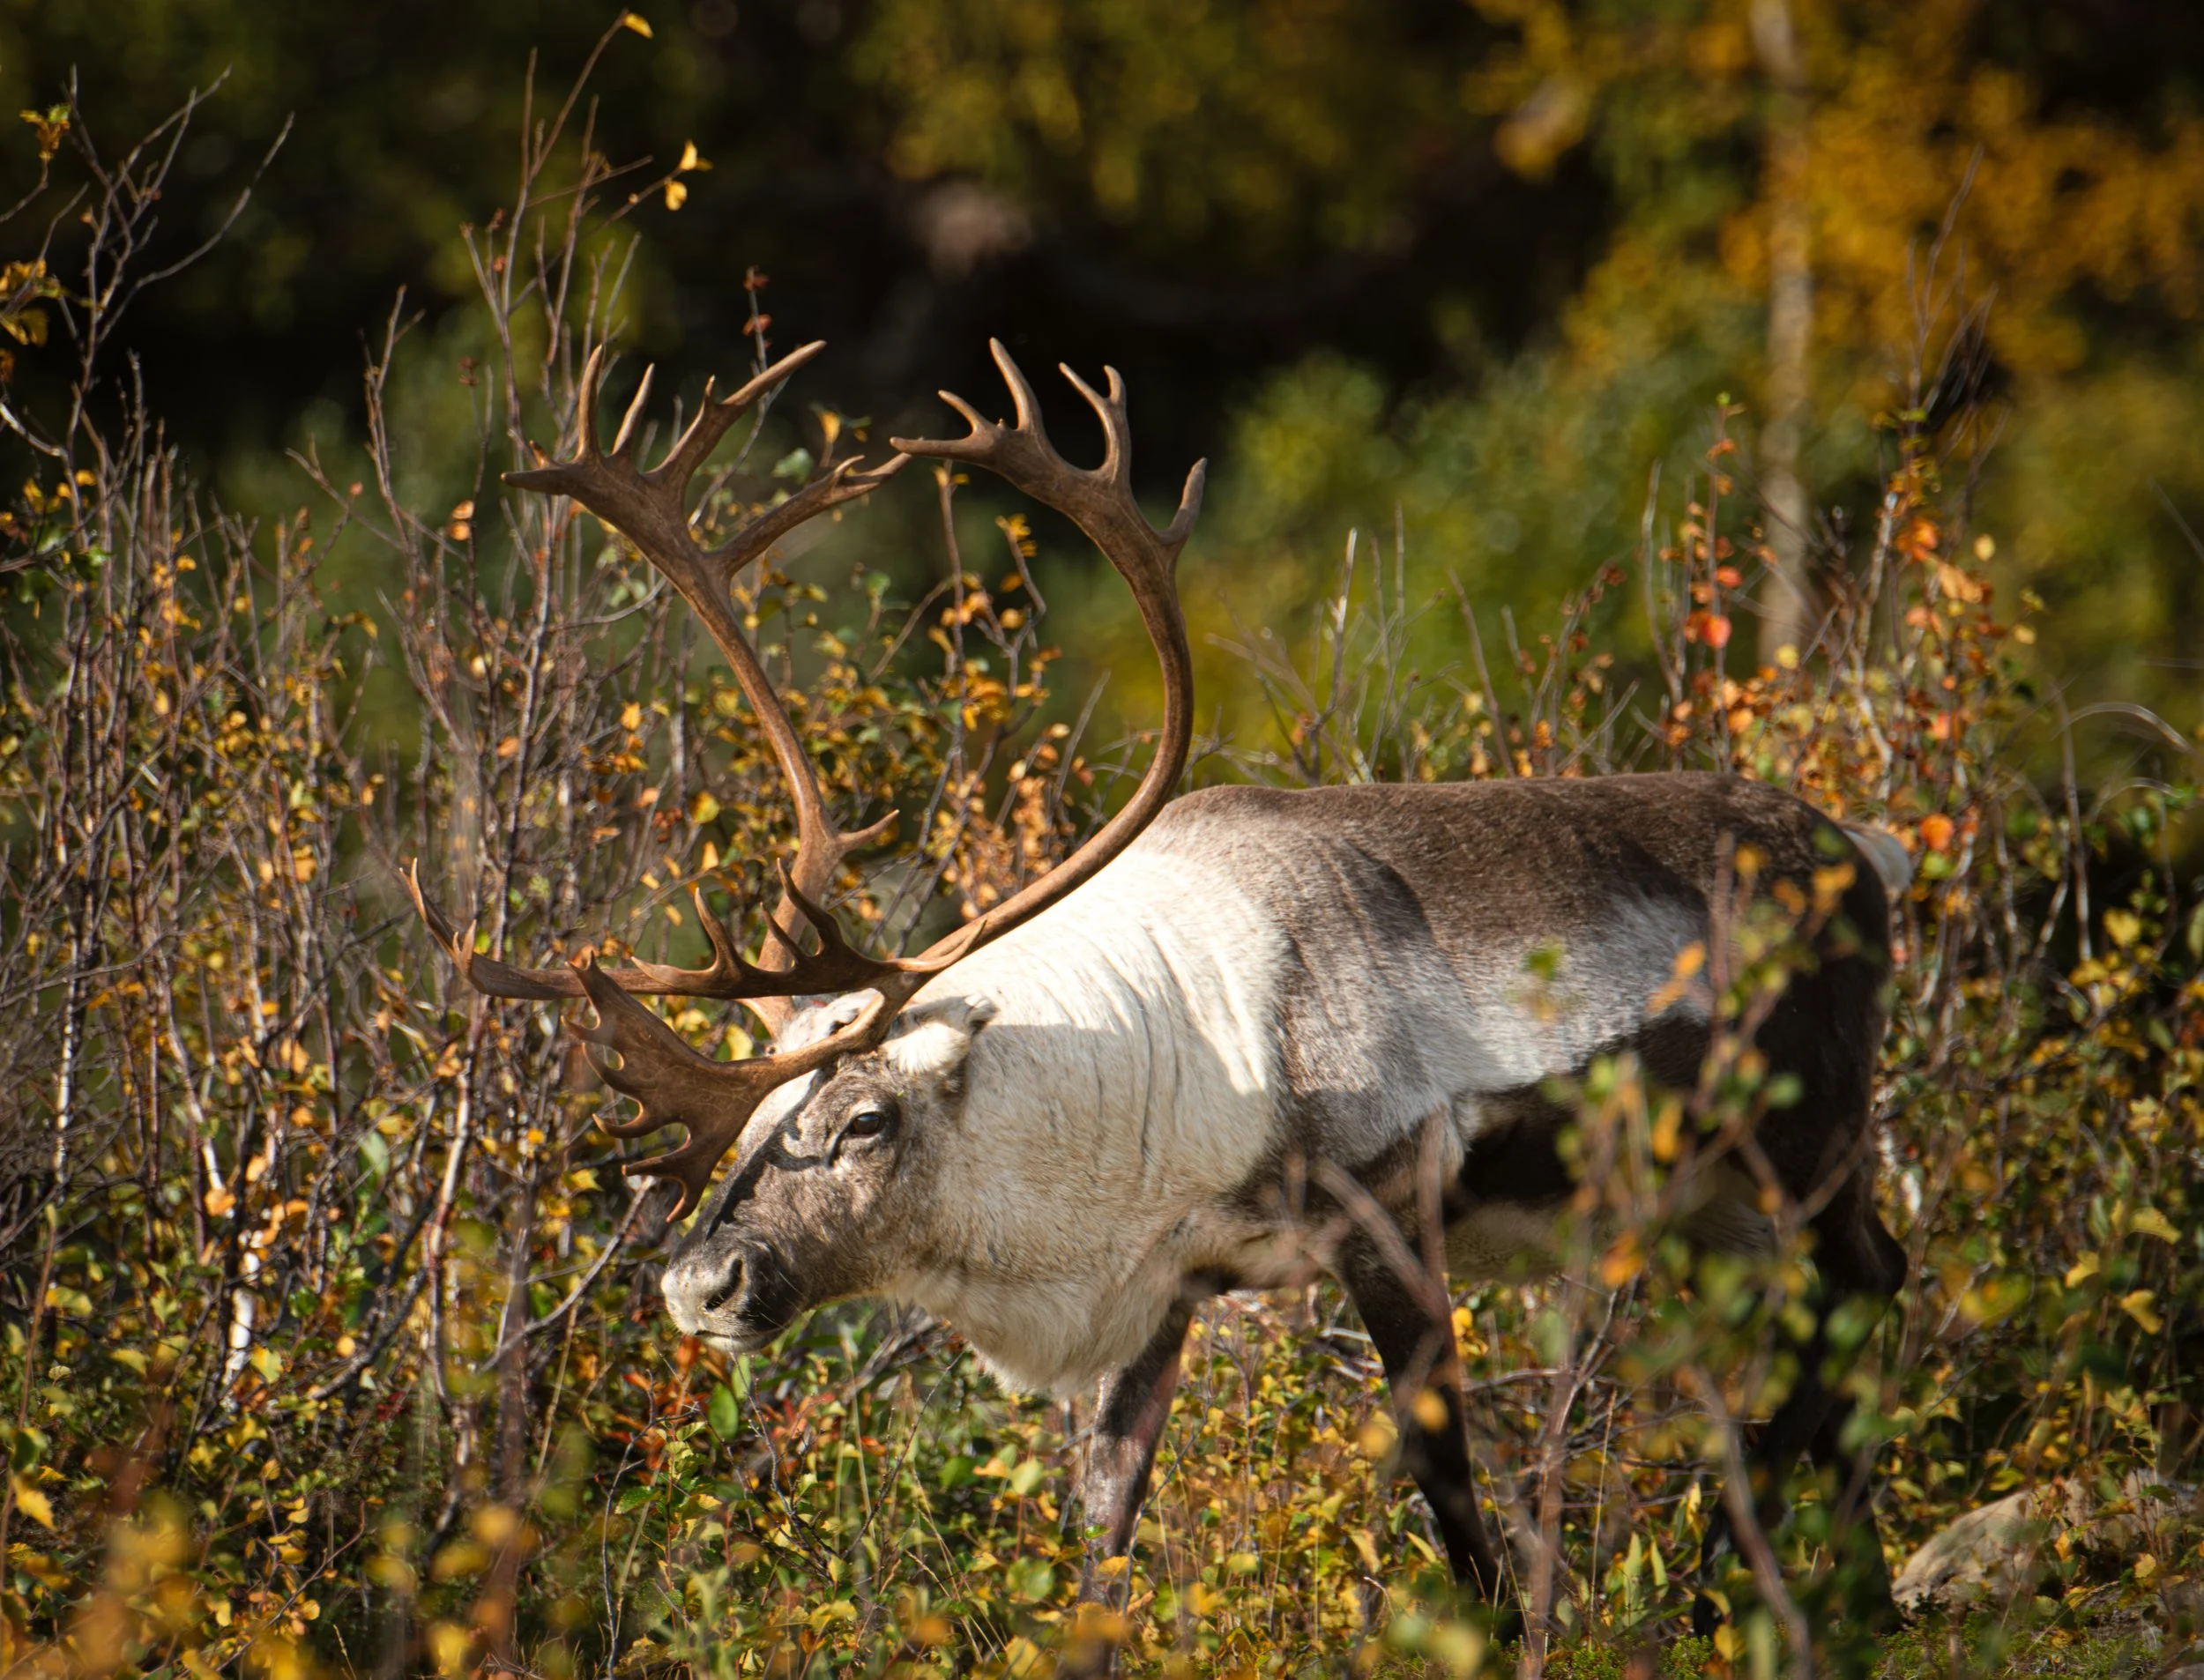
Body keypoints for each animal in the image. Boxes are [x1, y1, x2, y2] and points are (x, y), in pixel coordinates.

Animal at [409, 336, 1913, 1636]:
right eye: (759, 1129)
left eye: (864, 1118)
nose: (697, 1283)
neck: (1155, 1093)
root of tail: (1866, 847)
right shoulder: (1158, 1295)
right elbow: (1101, 1549)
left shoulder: (1389, 1206)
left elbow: (1455, 1510)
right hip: (1711, 1203)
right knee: (1822, 1336)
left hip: (1806, 1145)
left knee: (1869, 1295)